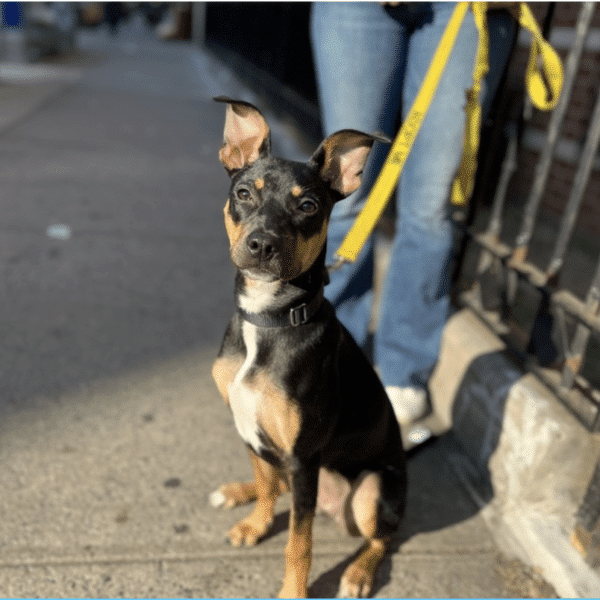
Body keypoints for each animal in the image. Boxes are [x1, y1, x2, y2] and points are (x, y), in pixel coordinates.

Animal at [211, 96, 408, 596]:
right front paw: (256, 524)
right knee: (275, 484)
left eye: (308, 205)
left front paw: (293, 591)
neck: (270, 318)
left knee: (383, 538)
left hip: (373, 489)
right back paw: (237, 493)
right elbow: (266, 485)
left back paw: (358, 573)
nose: (262, 245)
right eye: (245, 193)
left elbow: (298, 543)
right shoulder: (247, 424)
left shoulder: (303, 457)